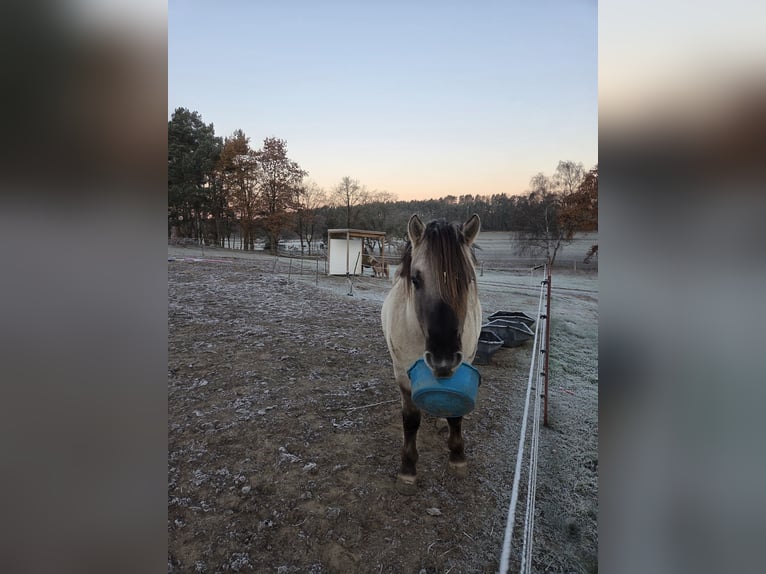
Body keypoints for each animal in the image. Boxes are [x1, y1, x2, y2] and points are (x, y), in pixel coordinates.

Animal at [381, 214, 482, 489]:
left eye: (468, 279)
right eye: (415, 280)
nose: (443, 360)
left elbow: (456, 415)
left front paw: (458, 458)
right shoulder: (402, 374)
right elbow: (410, 419)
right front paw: (408, 469)